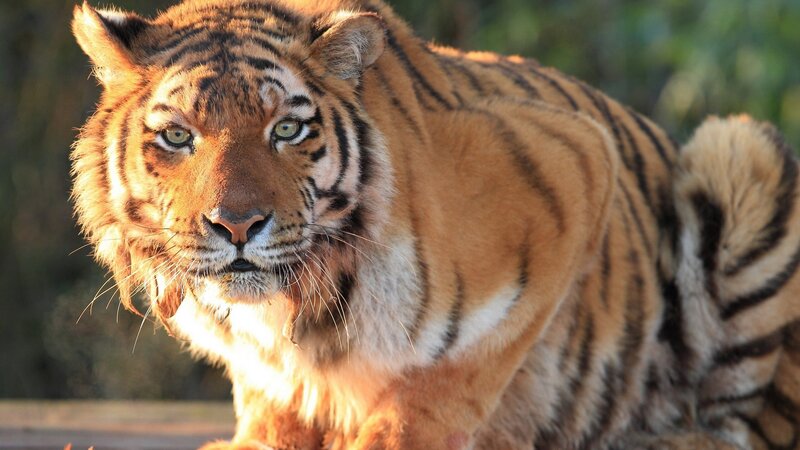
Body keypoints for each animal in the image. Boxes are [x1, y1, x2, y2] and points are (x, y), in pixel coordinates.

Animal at [70, 0, 800, 448]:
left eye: (287, 130)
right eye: (177, 136)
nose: (237, 226)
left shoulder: (575, 165)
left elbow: (454, 373)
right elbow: (273, 392)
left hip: (745, 153)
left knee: (743, 427)